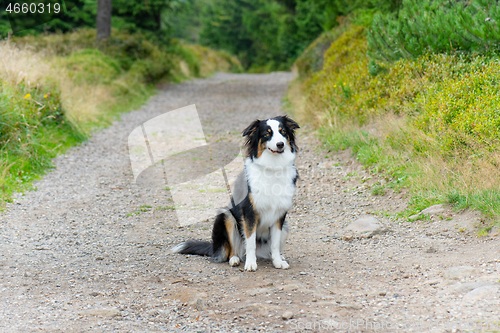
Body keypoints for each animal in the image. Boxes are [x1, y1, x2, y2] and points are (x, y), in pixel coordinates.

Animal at [172, 114, 298, 270]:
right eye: (267, 134)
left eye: (283, 132)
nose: (280, 144)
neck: (273, 168)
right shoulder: (249, 212)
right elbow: (250, 242)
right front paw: (251, 264)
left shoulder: (280, 214)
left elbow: (274, 243)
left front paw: (278, 262)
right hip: (226, 216)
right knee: (233, 249)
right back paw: (235, 259)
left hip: (286, 226)